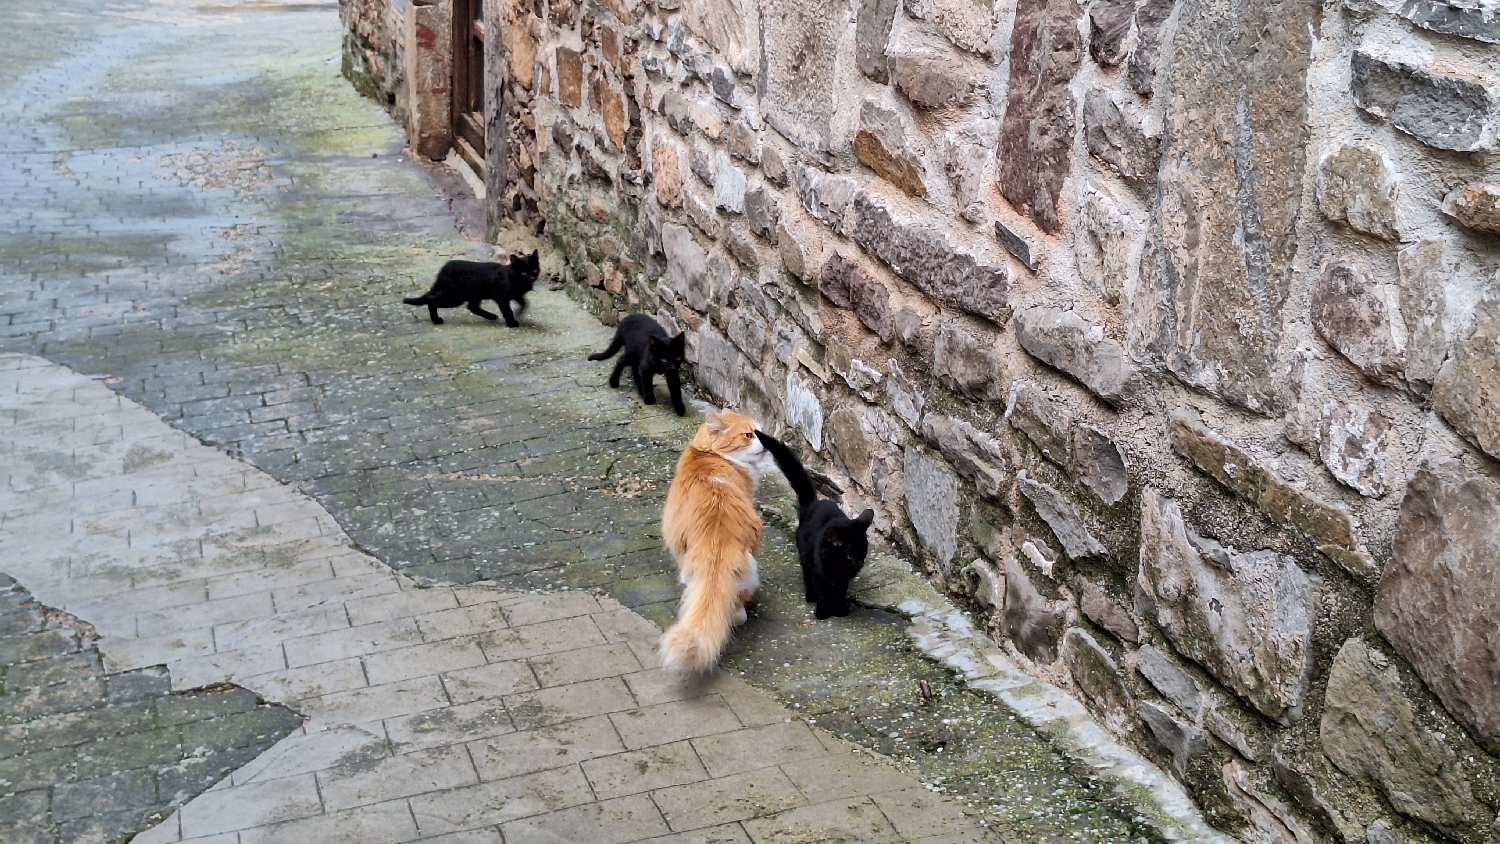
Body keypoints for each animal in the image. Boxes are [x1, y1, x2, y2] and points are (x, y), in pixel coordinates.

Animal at [402, 250, 543, 326]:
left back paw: (491, 316)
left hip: (472, 294)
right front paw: (512, 322)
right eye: (523, 273)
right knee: (432, 300)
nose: (531, 278)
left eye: (535, 270)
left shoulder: (516, 294)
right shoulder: (502, 297)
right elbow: (507, 310)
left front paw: (519, 312)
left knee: (472, 307)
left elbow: (525, 303)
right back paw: (436, 320)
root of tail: (444, 268)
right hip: (454, 296)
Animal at [756, 428, 876, 620]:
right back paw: (810, 596)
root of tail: (813, 504)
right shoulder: (818, 571)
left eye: (863, 553)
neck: (836, 567)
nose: (859, 564)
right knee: (806, 574)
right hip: (805, 554)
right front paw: (823, 610)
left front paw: (840, 609)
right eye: (850, 555)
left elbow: (840, 591)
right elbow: (822, 590)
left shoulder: (843, 579)